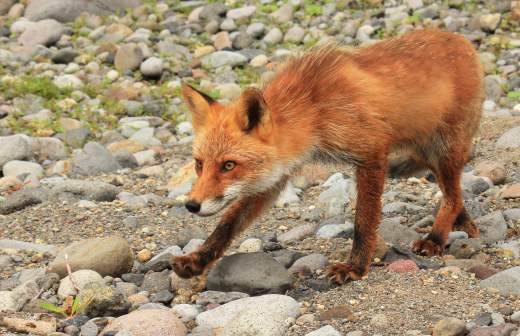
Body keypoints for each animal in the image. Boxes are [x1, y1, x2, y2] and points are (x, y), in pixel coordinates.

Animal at [173, 30, 486, 284]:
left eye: (228, 165)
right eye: (199, 164)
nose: (191, 205)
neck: (313, 109)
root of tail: (461, 40)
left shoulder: (372, 152)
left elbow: (364, 221)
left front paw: (355, 267)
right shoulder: (275, 176)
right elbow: (227, 224)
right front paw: (198, 259)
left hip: (445, 149)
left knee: (452, 196)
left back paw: (436, 238)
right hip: (429, 151)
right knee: (454, 193)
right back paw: (464, 224)